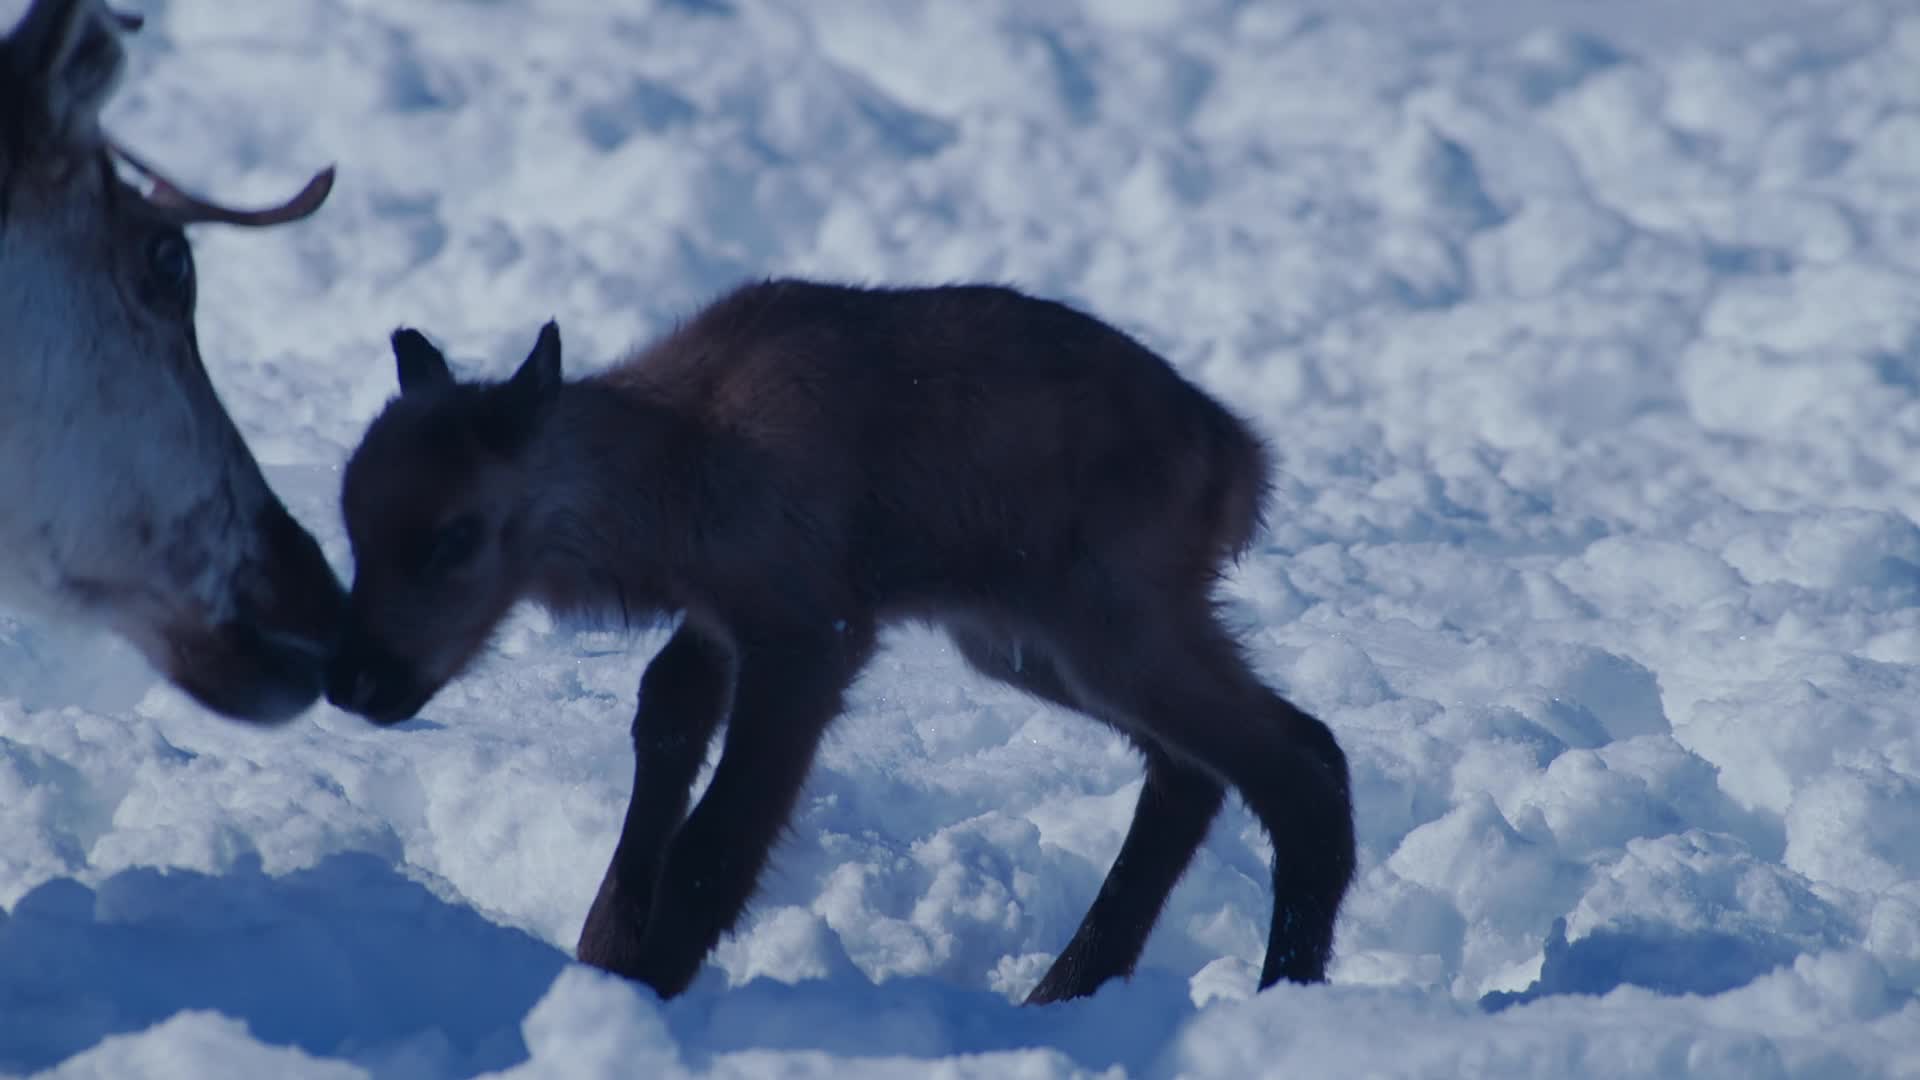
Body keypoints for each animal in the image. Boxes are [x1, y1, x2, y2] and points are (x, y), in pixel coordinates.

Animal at [330, 278, 1351, 999]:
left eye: (455, 535)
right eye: (351, 526)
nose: (353, 681)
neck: (676, 477)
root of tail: (1241, 461)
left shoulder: (815, 634)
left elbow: (715, 843)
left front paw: (646, 982)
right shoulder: (722, 621)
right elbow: (662, 727)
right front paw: (606, 946)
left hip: (1111, 621)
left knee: (1302, 761)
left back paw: (1278, 994)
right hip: (1024, 640)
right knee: (1201, 770)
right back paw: (1065, 991)